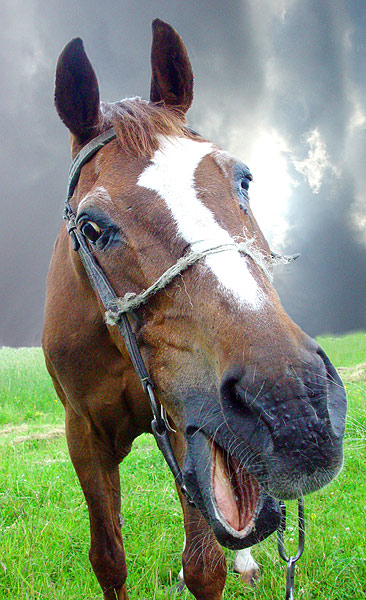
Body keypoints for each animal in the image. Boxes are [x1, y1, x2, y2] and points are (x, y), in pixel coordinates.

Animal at [42, 18, 346, 600]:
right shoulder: (84, 436)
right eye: (90, 227)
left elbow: (206, 563)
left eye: (243, 178)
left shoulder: (195, 430)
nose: (295, 402)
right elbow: (109, 560)